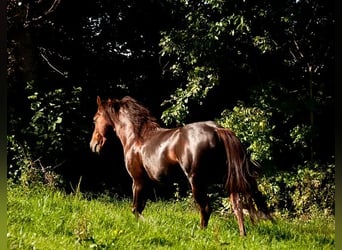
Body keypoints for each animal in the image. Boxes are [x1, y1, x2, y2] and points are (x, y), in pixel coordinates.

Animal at [89, 94, 272, 235]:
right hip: (226, 178)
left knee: (206, 208)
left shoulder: (138, 181)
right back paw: (242, 235)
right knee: (237, 206)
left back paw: (200, 233)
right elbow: (138, 208)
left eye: (95, 118)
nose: (93, 145)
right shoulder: (146, 183)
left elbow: (136, 209)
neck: (136, 138)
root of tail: (217, 130)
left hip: (197, 181)